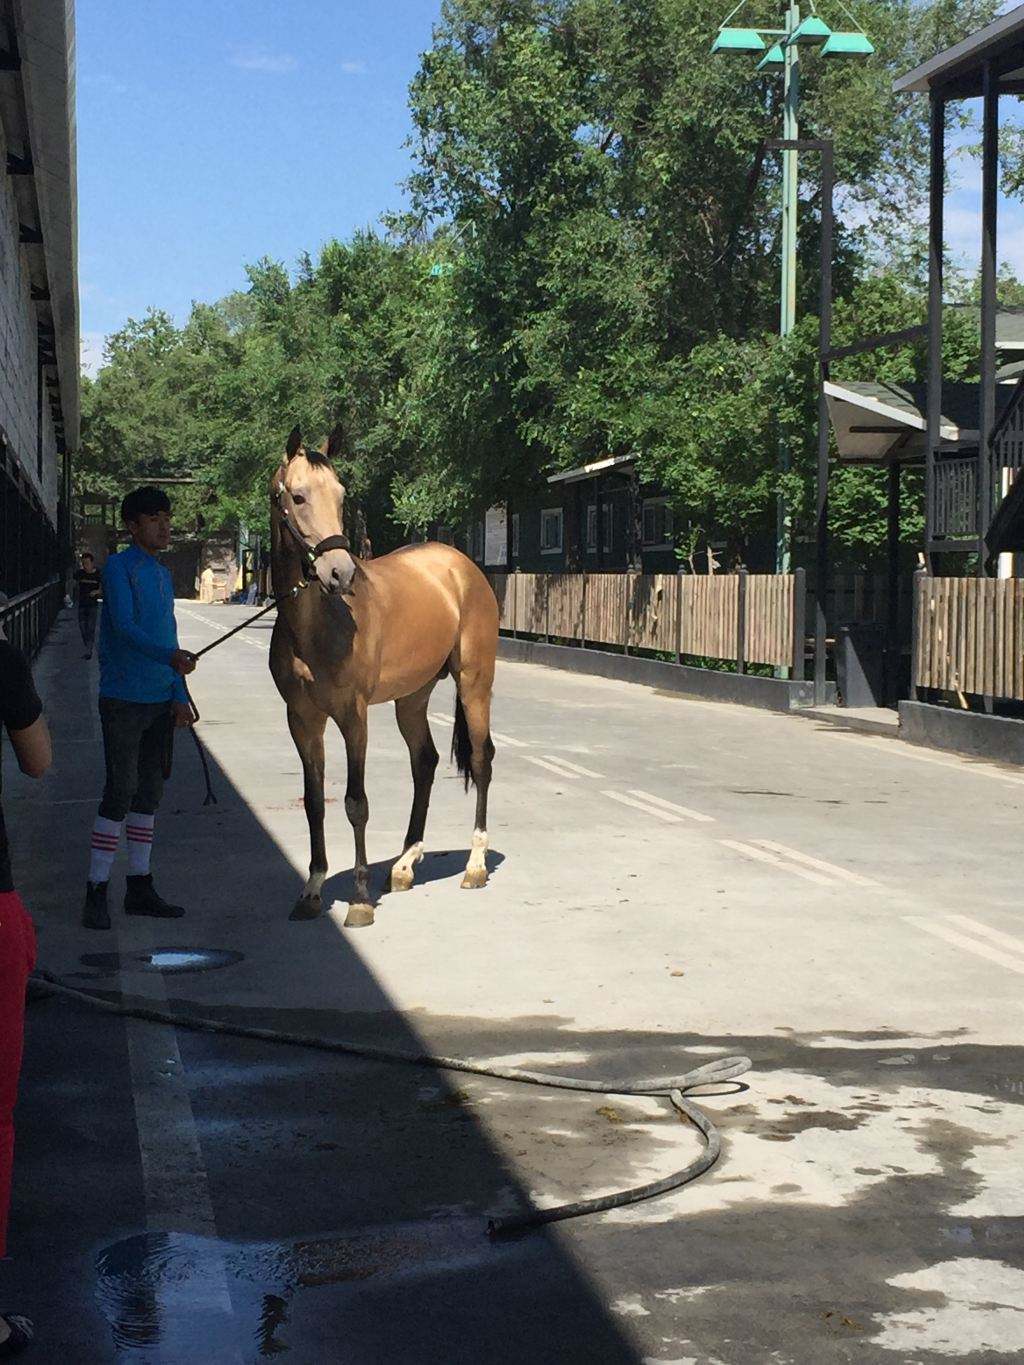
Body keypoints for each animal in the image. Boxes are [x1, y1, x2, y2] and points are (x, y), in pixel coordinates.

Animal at [268, 425, 502, 928]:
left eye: (340, 495)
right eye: (298, 496)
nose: (341, 573)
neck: (316, 626)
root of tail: (461, 566)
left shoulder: (353, 716)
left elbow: (356, 803)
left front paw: (358, 900)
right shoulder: (302, 720)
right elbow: (313, 801)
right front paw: (312, 890)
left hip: (474, 683)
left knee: (480, 760)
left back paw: (474, 864)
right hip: (411, 698)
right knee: (425, 762)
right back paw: (405, 863)